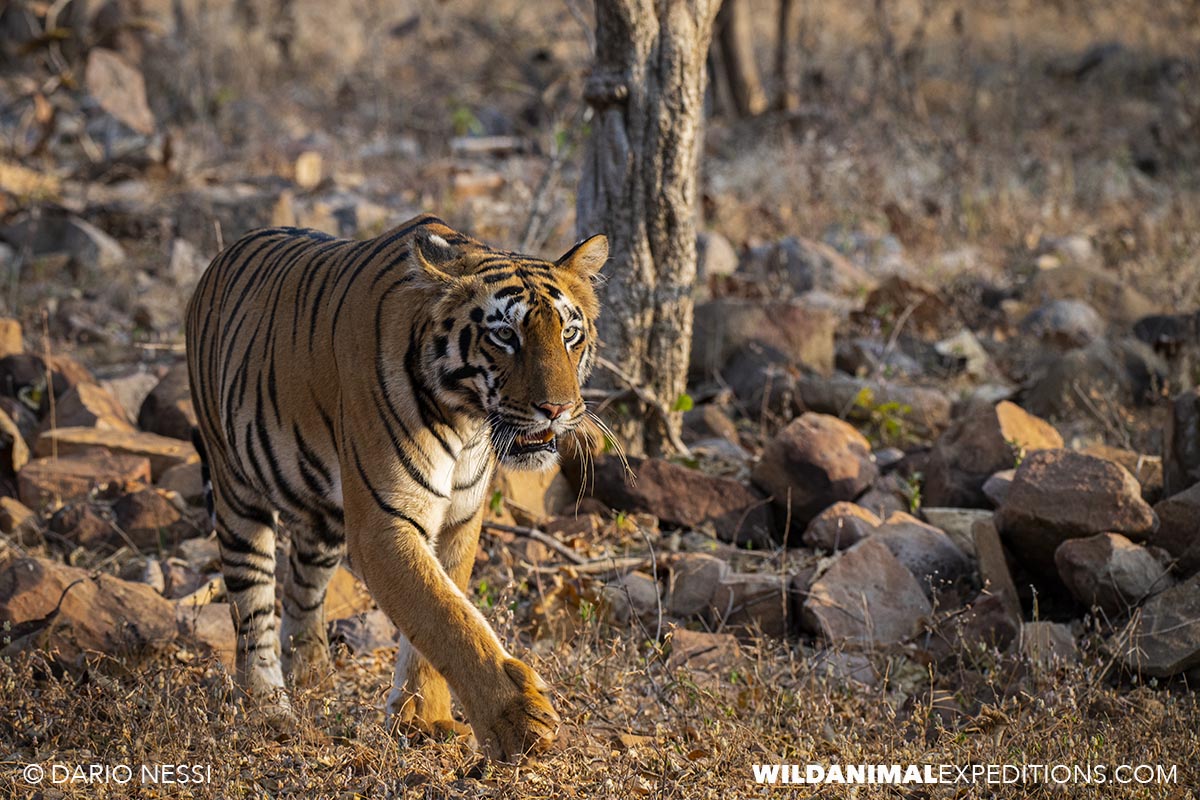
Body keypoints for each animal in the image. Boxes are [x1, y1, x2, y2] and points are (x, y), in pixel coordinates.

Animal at [184, 214, 607, 760]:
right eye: (504, 335)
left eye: (570, 333)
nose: (557, 409)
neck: (467, 421)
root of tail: (221, 256)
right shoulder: (384, 524)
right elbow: (444, 616)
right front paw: (517, 721)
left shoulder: (458, 520)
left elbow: (440, 613)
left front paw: (424, 719)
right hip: (236, 489)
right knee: (252, 605)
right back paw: (266, 707)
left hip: (322, 516)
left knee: (303, 586)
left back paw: (312, 674)